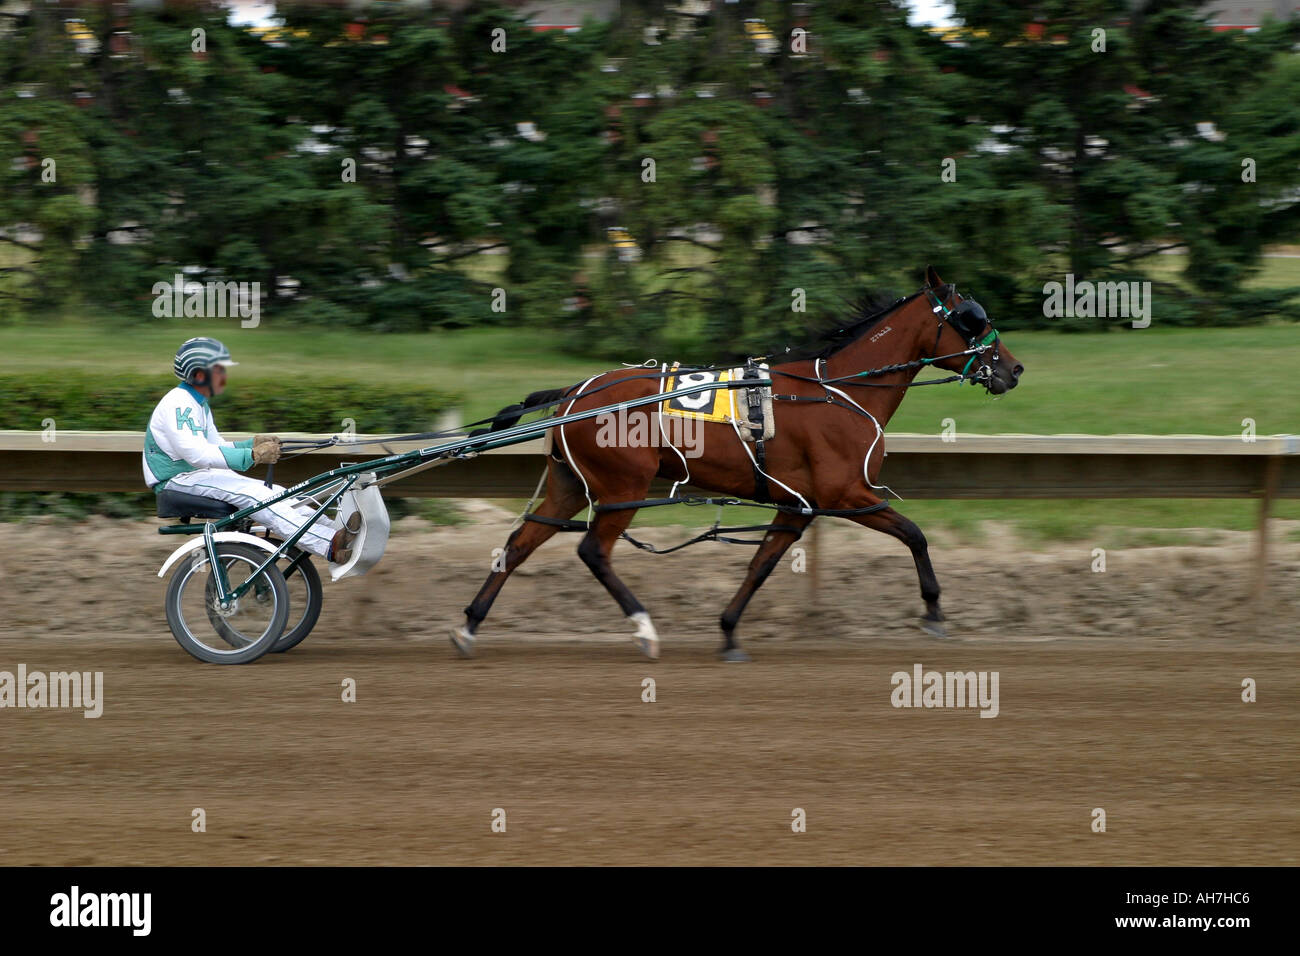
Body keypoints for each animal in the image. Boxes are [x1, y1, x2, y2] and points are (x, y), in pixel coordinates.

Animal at [452, 265, 1019, 660]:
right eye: (972, 318)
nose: (1012, 369)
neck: (838, 391)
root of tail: (576, 392)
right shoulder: (846, 495)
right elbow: (916, 535)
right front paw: (934, 611)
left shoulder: (798, 505)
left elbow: (760, 564)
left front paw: (728, 632)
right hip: (622, 488)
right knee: (593, 551)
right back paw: (644, 628)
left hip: (571, 484)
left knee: (519, 543)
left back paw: (468, 625)